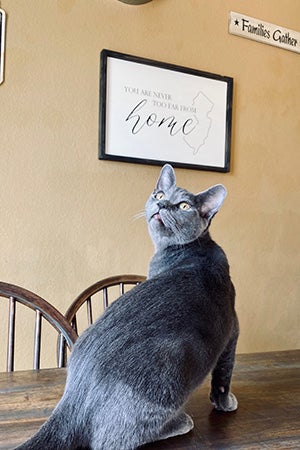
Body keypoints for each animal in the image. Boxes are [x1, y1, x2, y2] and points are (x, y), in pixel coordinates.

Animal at [17, 165, 239, 450]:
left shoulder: (232, 330)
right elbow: (223, 374)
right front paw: (224, 403)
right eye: (159, 194)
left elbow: (223, 373)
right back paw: (181, 422)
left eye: (184, 205)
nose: (162, 204)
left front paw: (223, 403)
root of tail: (75, 394)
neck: (190, 250)